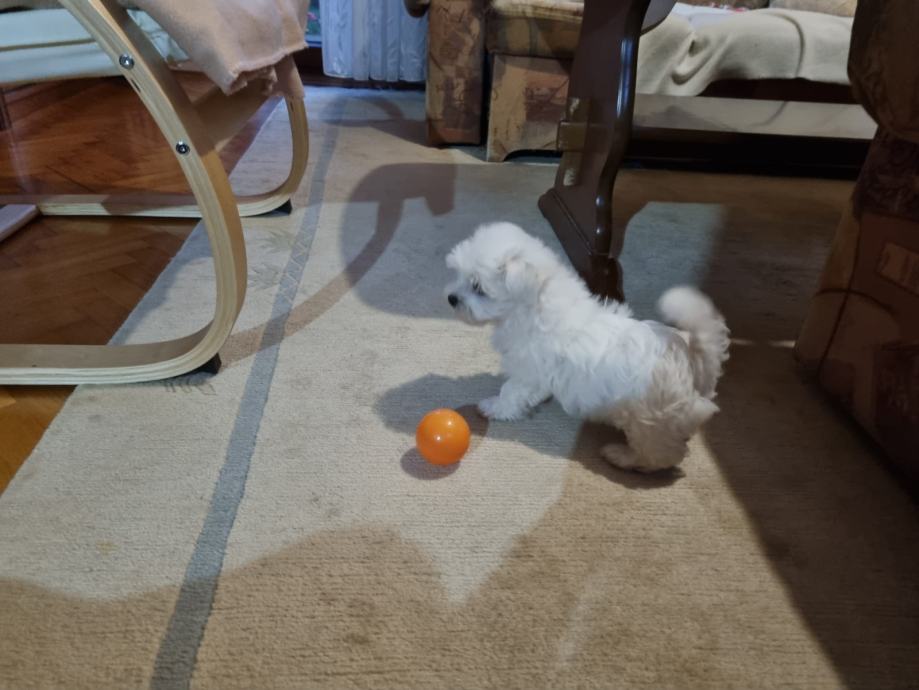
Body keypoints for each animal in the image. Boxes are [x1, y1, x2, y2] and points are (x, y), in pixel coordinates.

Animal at [445, 222, 730, 472]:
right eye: (459, 276)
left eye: (478, 287)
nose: (451, 298)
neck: (533, 302)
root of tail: (691, 363)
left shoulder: (528, 372)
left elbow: (511, 391)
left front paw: (493, 407)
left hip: (650, 420)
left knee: (661, 455)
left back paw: (622, 456)